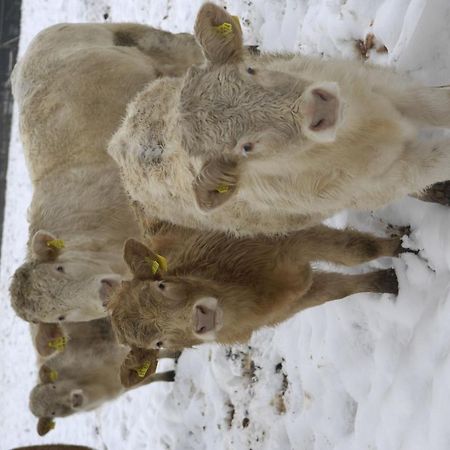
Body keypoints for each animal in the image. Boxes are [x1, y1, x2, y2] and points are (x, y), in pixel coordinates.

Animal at [30, 318, 176, 434]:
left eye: (54, 386)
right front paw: (172, 375)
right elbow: (151, 379)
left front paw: (177, 355)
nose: (74, 400)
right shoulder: (123, 384)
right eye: (52, 413)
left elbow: (160, 354)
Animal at [107, 2, 450, 236]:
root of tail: (117, 141)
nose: (318, 108)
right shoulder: (392, 177)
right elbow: (440, 157)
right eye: (246, 148)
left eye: (250, 69)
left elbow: (437, 103)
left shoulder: (390, 87)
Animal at [110, 222, 404, 352]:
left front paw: (402, 245)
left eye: (161, 285)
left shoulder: (288, 238)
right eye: (158, 343)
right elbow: (338, 289)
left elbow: (355, 250)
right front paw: (389, 280)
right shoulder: (295, 300)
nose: (201, 319)